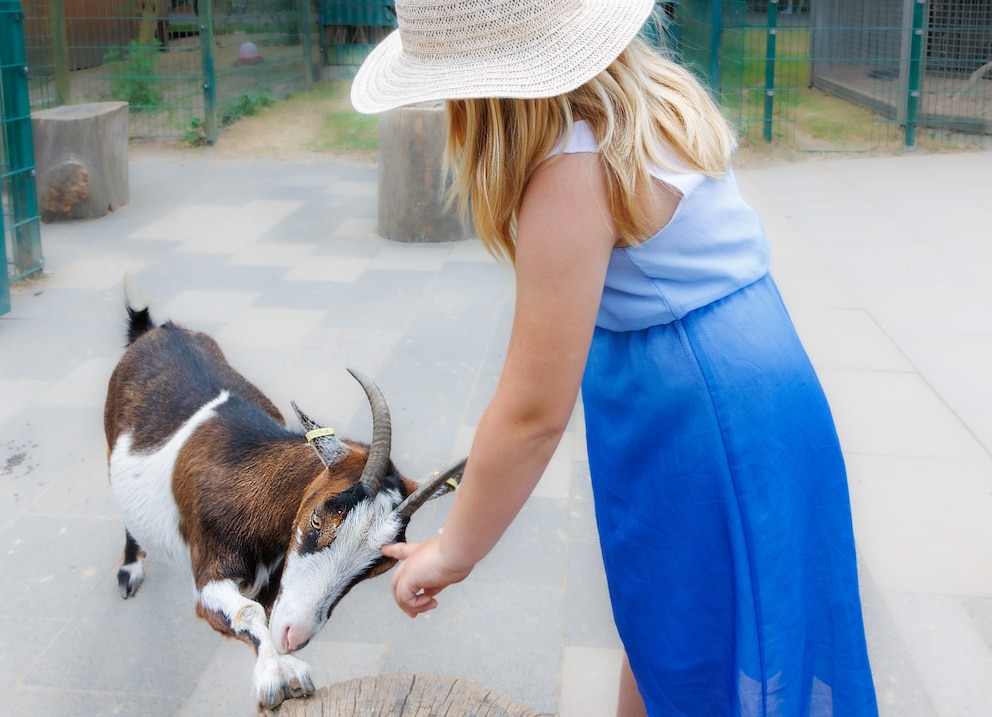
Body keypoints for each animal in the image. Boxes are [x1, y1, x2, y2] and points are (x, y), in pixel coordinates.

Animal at [106, 294, 464, 708]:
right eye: (317, 519)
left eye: (380, 565)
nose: (294, 635)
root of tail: (157, 329)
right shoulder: (209, 572)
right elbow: (247, 612)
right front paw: (280, 674)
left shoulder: (273, 587)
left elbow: (263, 610)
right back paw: (130, 571)